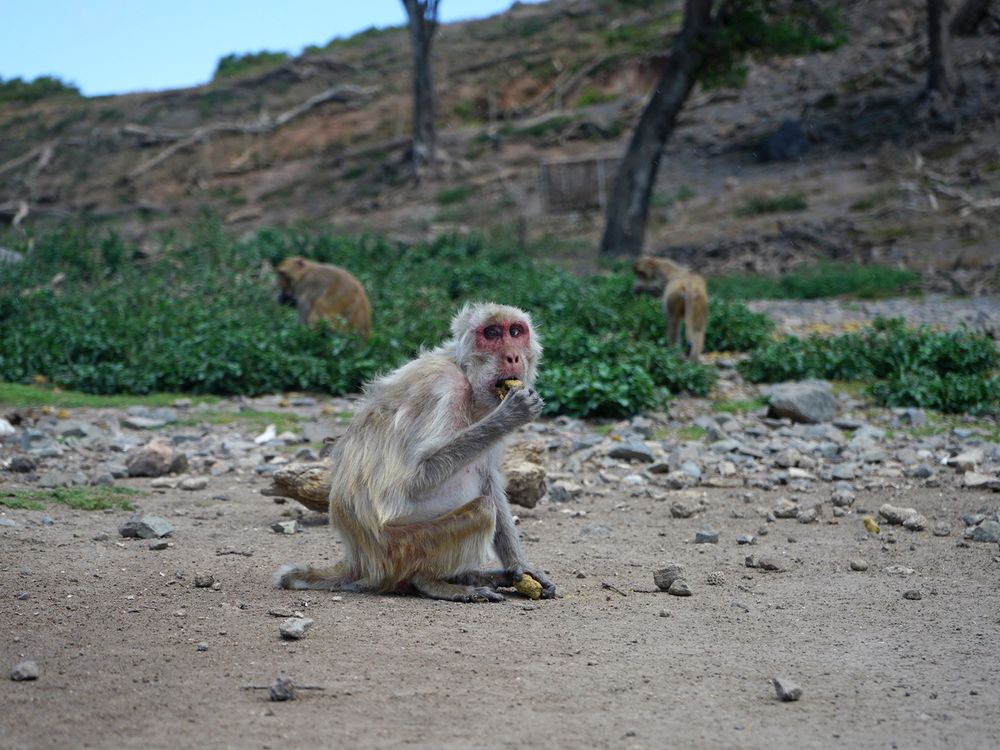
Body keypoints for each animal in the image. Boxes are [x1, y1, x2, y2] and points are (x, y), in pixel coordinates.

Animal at [276, 302, 556, 604]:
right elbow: (412, 481)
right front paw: (509, 416)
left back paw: (475, 576)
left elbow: (487, 477)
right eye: (491, 333)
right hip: (402, 549)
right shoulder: (447, 389)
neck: (467, 377)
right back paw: (433, 582)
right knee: (481, 509)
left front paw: (521, 568)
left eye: (515, 332)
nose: (513, 356)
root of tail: (359, 560)